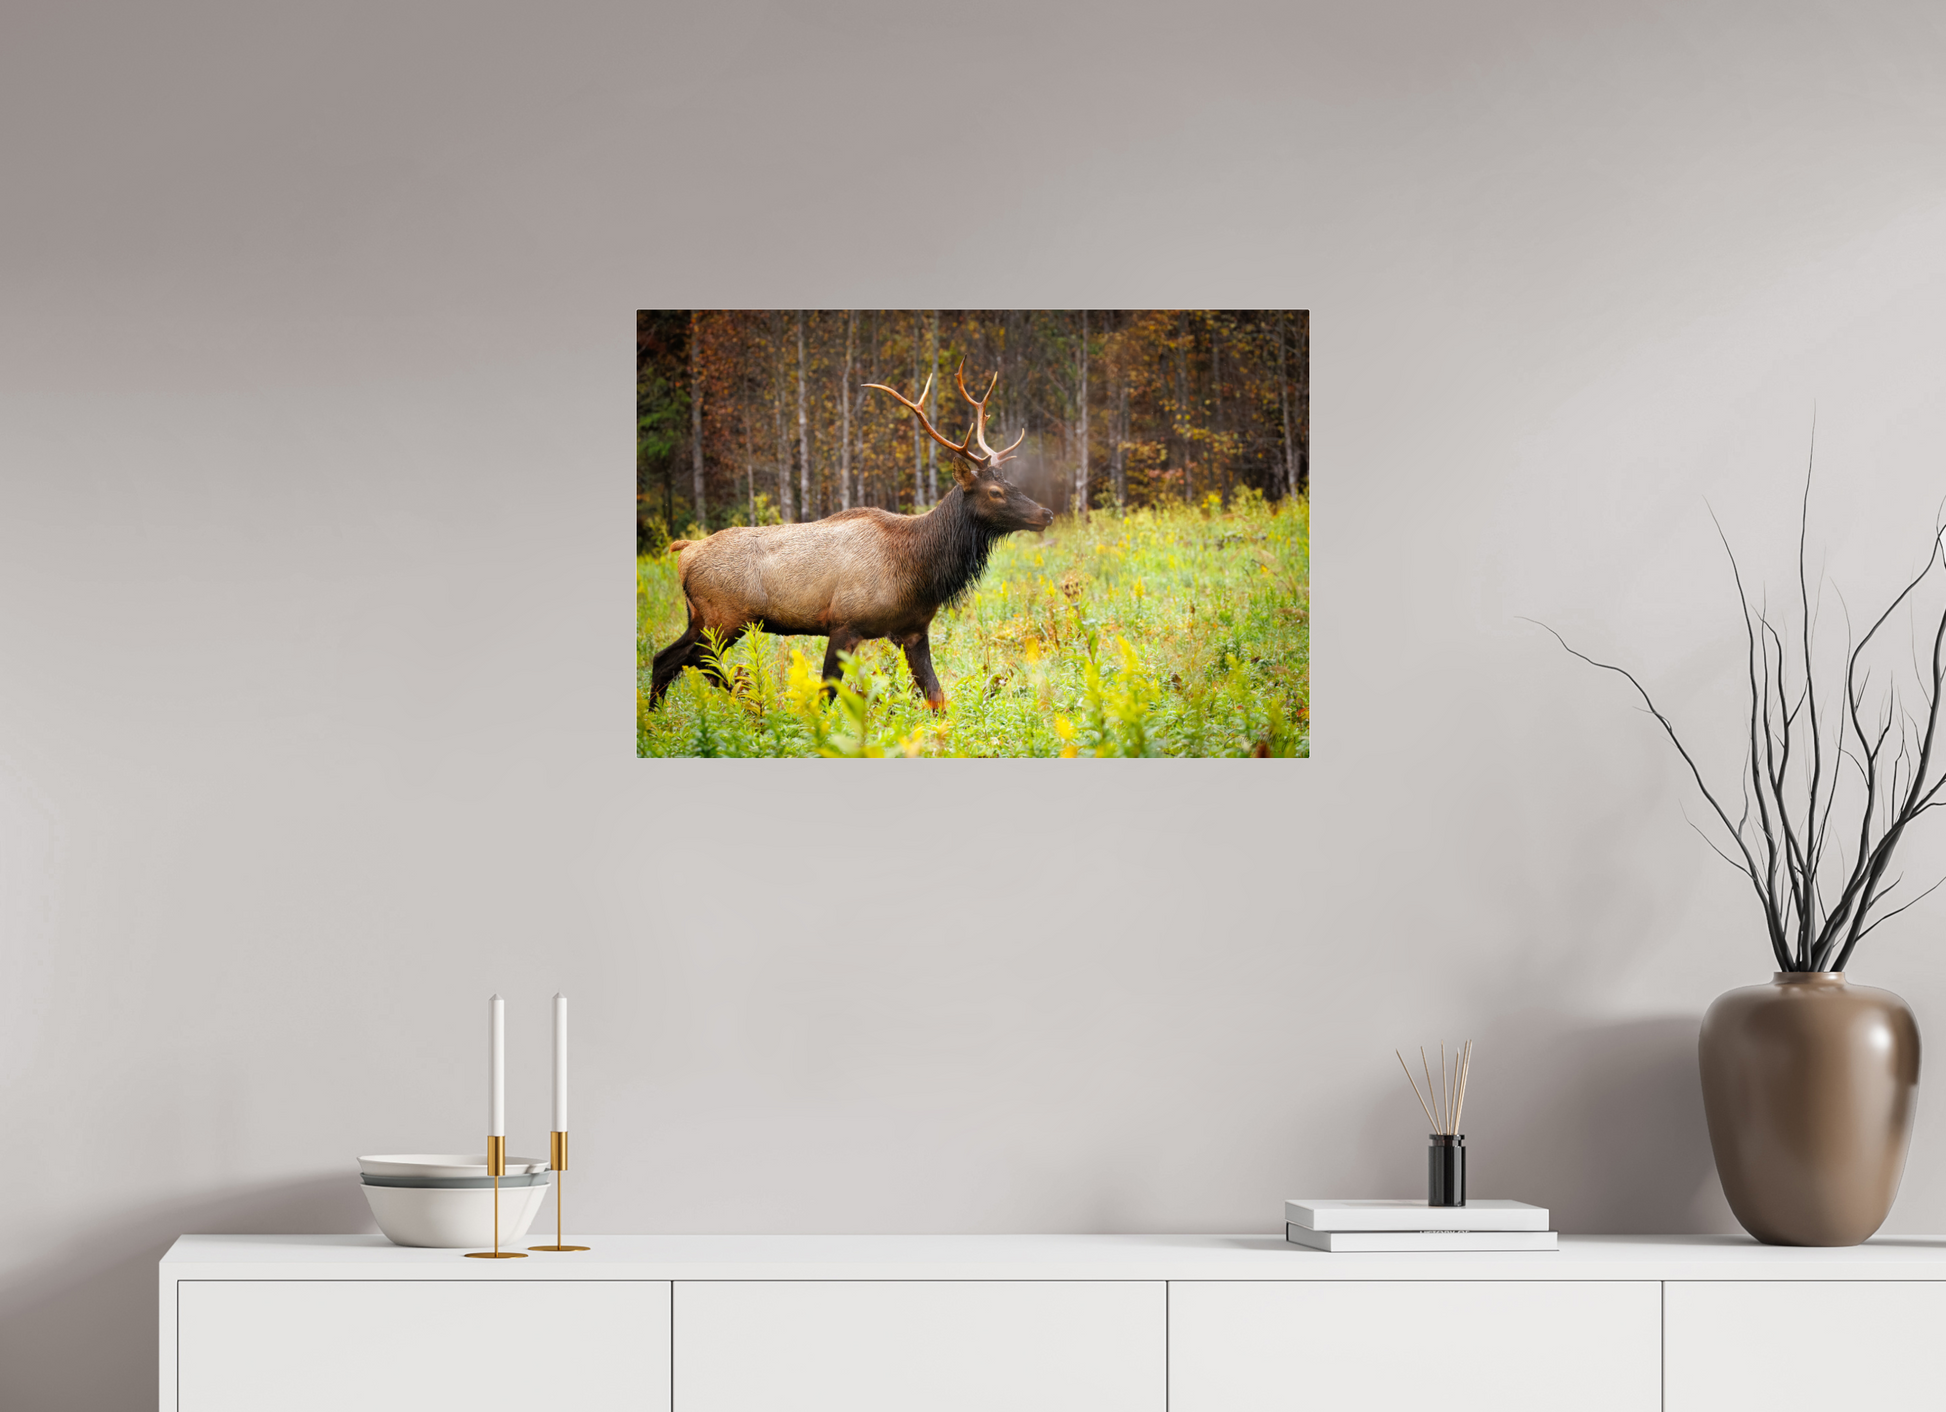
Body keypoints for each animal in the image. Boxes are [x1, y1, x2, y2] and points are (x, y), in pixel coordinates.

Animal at [647, 364, 1055, 712]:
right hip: (725, 617)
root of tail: (684, 552)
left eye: (1011, 483)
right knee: (694, 661)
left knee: (667, 658)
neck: (920, 570)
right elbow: (827, 694)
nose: (1045, 514)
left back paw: (662, 720)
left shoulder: (913, 630)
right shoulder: (844, 623)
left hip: (701, 617)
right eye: (995, 492)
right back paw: (742, 710)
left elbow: (937, 697)